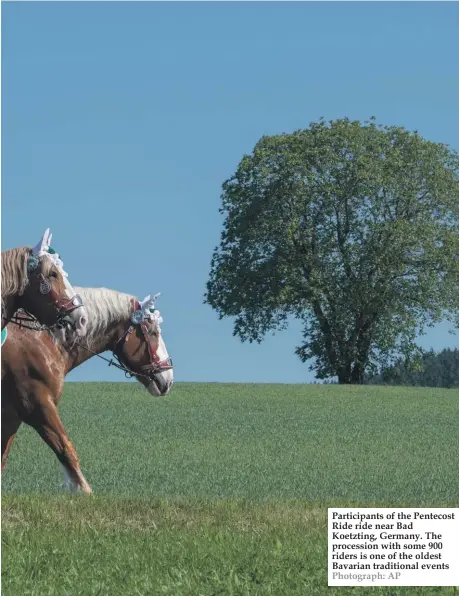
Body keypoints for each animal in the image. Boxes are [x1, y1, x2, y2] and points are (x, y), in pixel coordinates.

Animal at [1, 286, 174, 492]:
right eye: (153, 332)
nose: (168, 379)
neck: (42, 341)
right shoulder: (39, 406)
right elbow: (66, 449)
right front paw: (84, 490)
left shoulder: (13, 416)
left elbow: (3, 458)